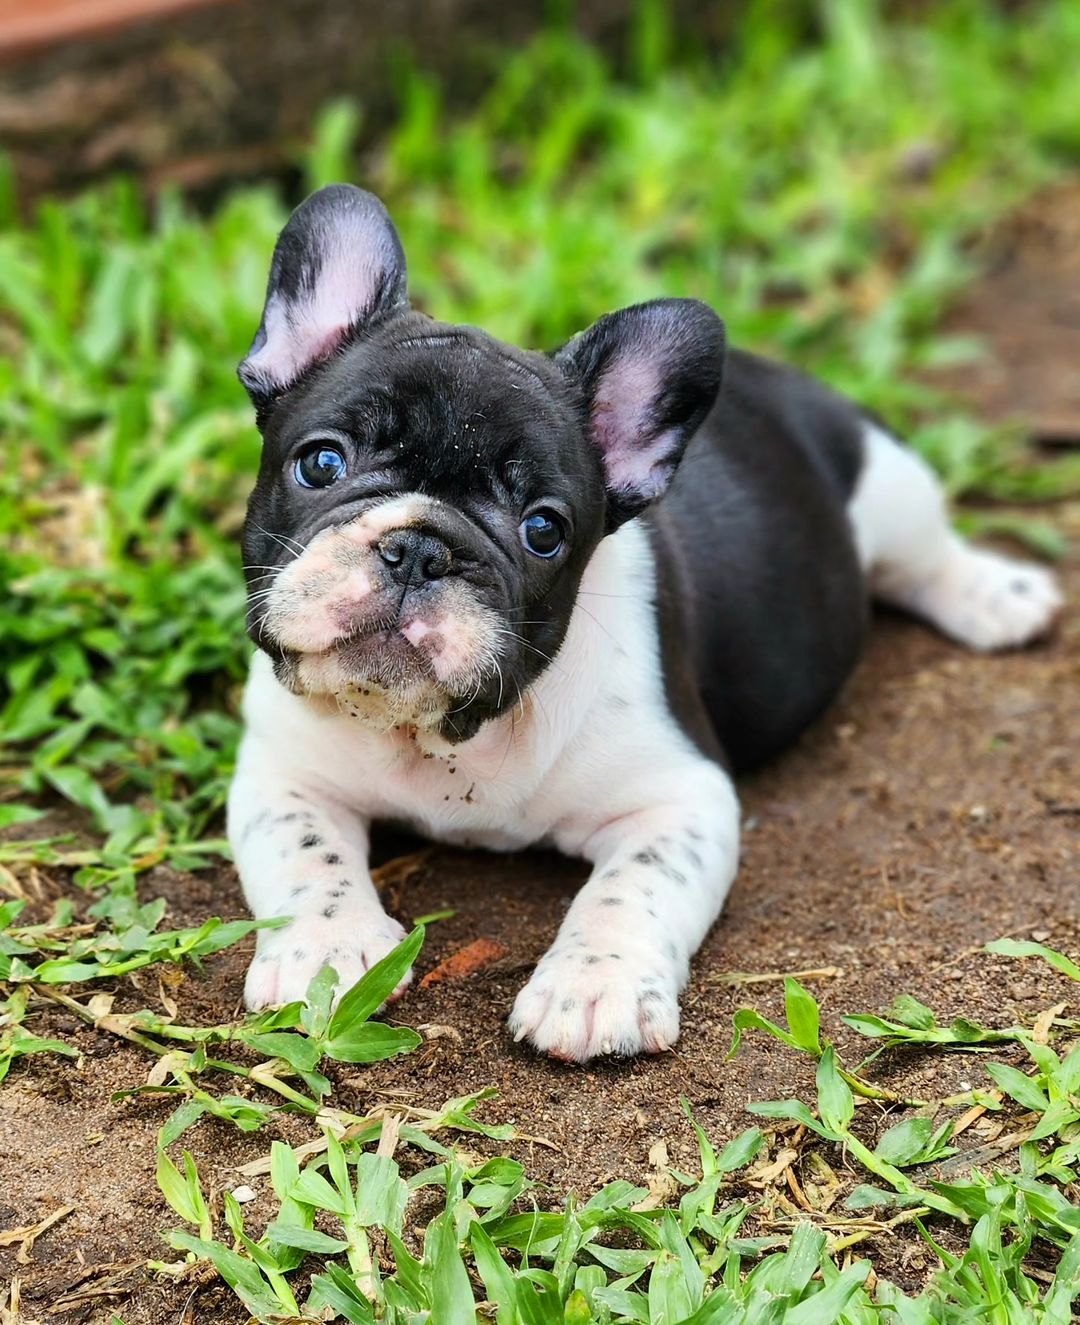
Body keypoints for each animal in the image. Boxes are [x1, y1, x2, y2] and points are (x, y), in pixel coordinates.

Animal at [227, 186, 1065, 1060]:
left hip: (891, 485)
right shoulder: (283, 772)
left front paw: (595, 984)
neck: (448, 736)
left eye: (544, 529)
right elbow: (306, 852)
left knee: (929, 557)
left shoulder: (681, 796)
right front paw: (326, 949)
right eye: (322, 463)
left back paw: (995, 594)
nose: (421, 548)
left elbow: (632, 888)